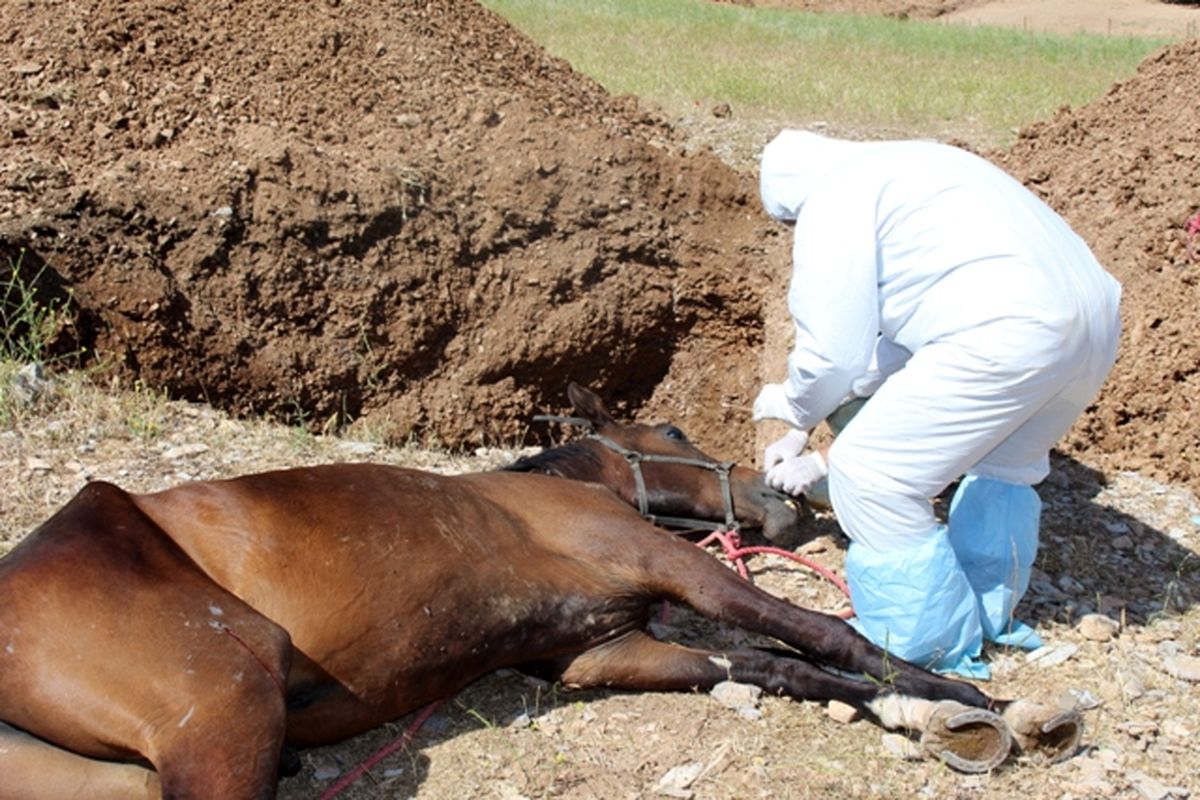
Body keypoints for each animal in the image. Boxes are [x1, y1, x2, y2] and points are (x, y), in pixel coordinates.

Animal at [0, 383, 1080, 796]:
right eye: (673, 433)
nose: (783, 503)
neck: (556, 487)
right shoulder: (671, 565)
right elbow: (817, 633)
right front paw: (960, 693)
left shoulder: (601, 651)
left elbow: (780, 668)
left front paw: (916, 712)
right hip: (222, 718)